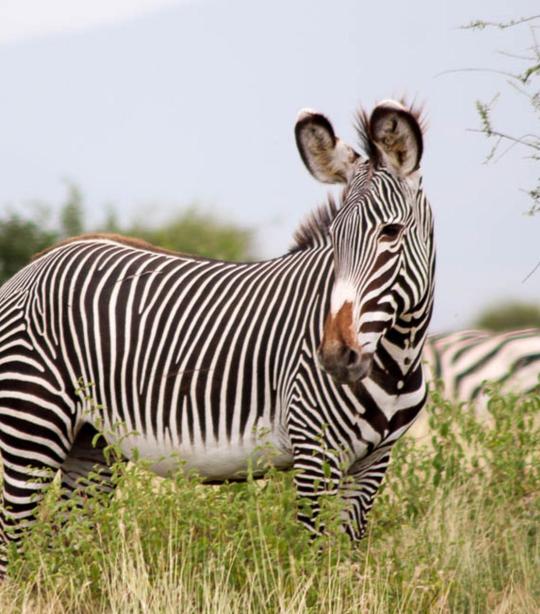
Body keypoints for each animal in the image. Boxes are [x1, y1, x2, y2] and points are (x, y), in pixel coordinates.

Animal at [0, 101, 432, 576]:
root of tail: (35, 264)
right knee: (12, 543)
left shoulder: (374, 463)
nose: (336, 357)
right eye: (335, 239)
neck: (398, 356)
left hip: (91, 443)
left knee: (61, 546)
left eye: (391, 232)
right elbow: (318, 564)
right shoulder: (315, 452)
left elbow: (349, 564)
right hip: (31, 425)